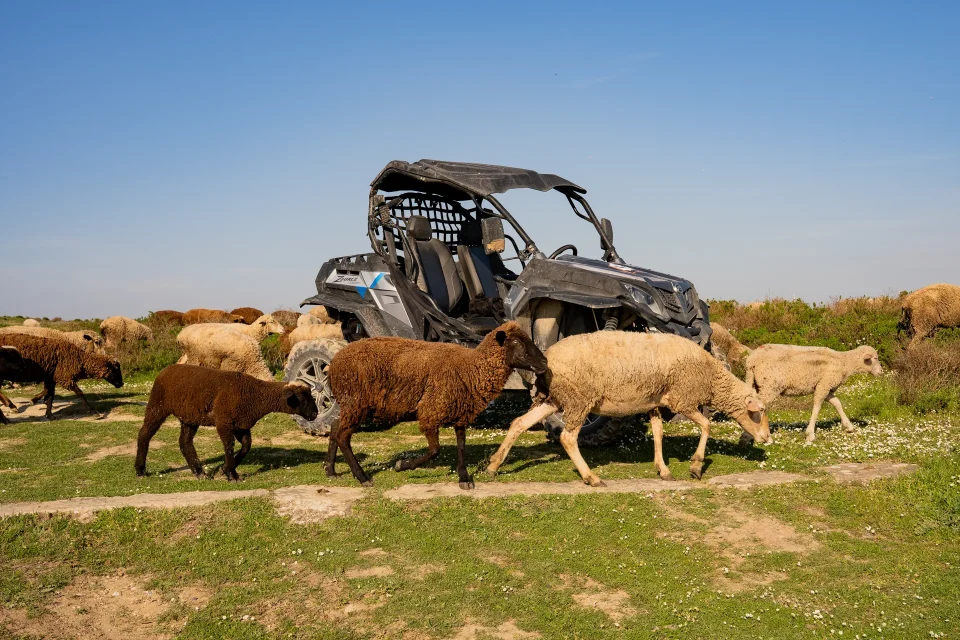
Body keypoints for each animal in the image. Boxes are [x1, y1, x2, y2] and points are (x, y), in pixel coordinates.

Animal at [134, 364, 318, 481]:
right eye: (302, 398)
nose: (315, 414)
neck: (255, 395)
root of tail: (166, 369)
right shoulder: (224, 421)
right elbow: (229, 446)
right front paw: (231, 474)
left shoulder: (241, 424)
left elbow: (246, 446)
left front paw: (225, 469)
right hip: (157, 405)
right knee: (144, 433)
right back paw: (140, 470)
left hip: (190, 416)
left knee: (185, 442)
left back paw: (200, 473)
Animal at [327, 321, 548, 490]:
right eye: (516, 342)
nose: (545, 362)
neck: (471, 368)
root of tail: (333, 363)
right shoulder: (430, 412)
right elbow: (435, 451)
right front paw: (402, 465)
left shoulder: (460, 413)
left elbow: (461, 446)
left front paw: (464, 478)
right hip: (356, 402)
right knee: (343, 436)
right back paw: (362, 477)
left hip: (352, 405)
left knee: (335, 427)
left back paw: (331, 471)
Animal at [485, 331, 772, 485]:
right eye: (757, 412)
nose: (767, 438)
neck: (711, 378)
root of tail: (547, 359)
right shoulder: (683, 399)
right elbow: (706, 425)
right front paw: (696, 466)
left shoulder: (654, 401)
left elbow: (657, 432)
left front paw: (663, 469)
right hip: (579, 399)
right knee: (567, 437)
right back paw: (591, 477)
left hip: (554, 399)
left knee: (519, 423)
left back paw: (493, 465)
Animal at [743, 343, 883, 443]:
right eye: (875, 358)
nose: (881, 372)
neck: (844, 362)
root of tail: (751, 360)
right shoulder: (824, 385)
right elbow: (817, 406)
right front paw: (810, 434)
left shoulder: (825, 386)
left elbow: (837, 403)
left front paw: (849, 426)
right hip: (770, 385)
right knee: (758, 406)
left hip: (756, 385)